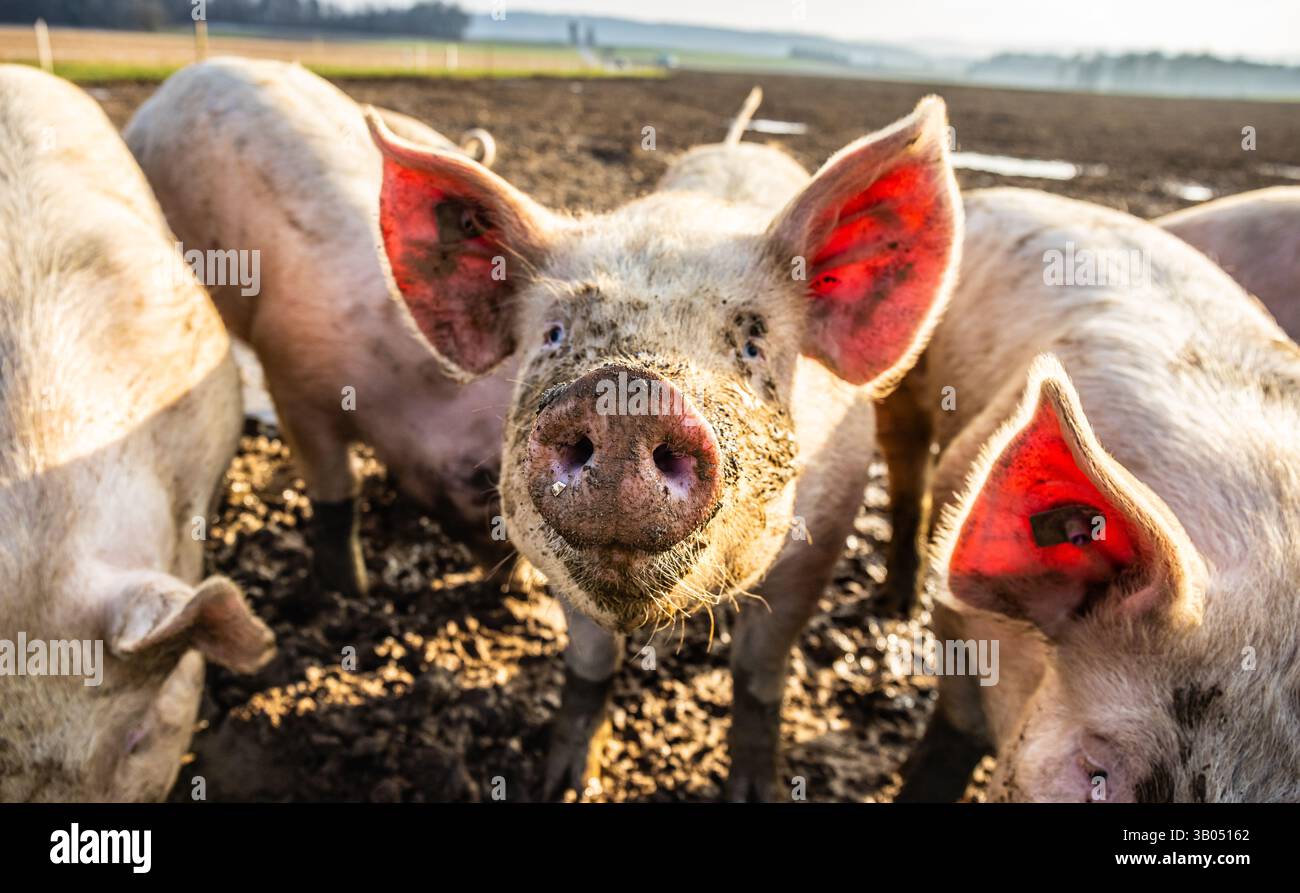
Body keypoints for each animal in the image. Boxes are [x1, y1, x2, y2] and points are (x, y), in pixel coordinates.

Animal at [124, 57, 509, 599]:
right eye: (482, 477)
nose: (515, 586)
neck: (390, 377)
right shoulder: (291, 380)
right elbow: (336, 490)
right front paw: (353, 589)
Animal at [366, 92, 962, 799]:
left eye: (753, 343)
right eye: (555, 334)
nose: (627, 398)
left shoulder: (826, 533)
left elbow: (759, 671)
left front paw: (755, 790)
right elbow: (590, 661)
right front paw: (566, 784)